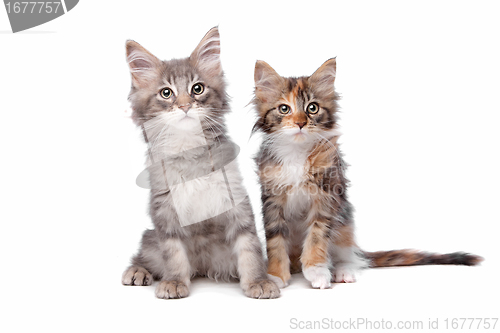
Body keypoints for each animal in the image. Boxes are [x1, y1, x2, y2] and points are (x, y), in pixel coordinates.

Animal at [119, 27, 280, 298]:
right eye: (166, 93)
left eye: (197, 88)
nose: (185, 106)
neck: (189, 150)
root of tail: (202, 269)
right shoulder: (165, 212)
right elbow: (173, 254)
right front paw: (174, 282)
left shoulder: (235, 200)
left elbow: (250, 248)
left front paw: (258, 281)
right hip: (151, 241)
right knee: (144, 254)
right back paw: (137, 271)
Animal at [252, 57, 482, 288]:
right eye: (284, 109)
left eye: (312, 108)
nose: (300, 123)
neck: (296, 151)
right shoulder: (272, 199)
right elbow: (275, 242)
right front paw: (275, 275)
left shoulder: (327, 196)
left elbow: (317, 236)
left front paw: (317, 270)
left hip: (344, 222)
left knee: (350, 257)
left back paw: (342, 271)